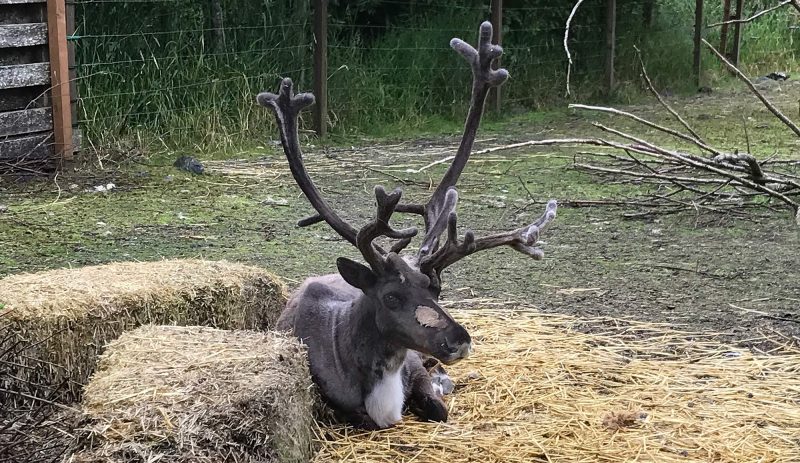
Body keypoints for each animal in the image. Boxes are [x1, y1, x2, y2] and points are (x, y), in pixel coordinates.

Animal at [257, 21, 558, 430]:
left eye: (436, 289)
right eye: (391, 297)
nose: (460, 340)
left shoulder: (416, 368)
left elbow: (438, 409)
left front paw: (444, 385)